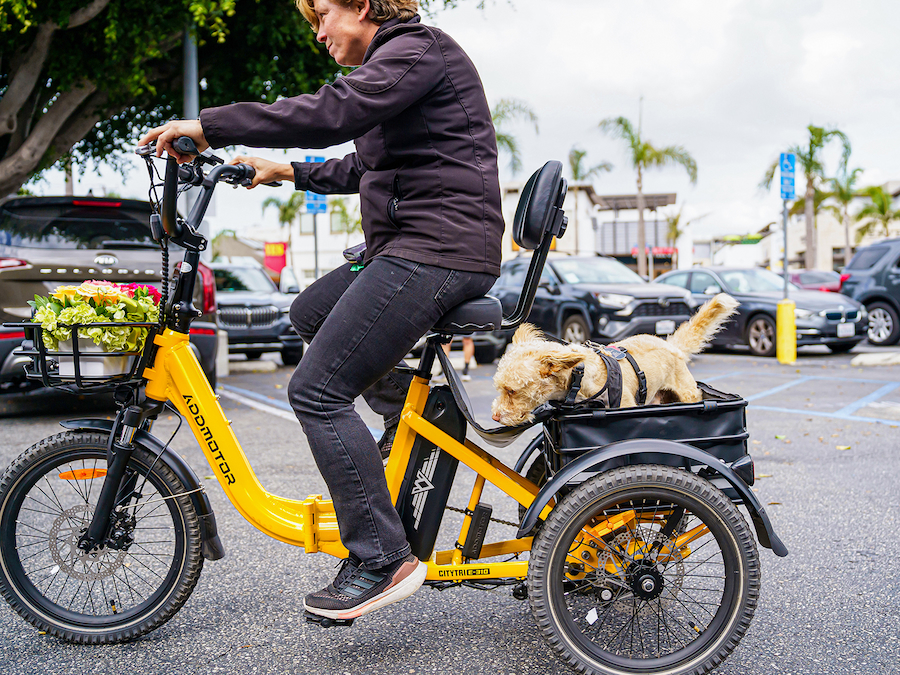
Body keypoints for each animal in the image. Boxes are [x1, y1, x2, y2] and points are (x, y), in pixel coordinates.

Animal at [492, 294, 740, 426]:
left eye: (511, 390)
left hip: (688, 395)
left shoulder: (625, 407)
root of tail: (671, 345)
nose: (494, 416)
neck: (580, 379)